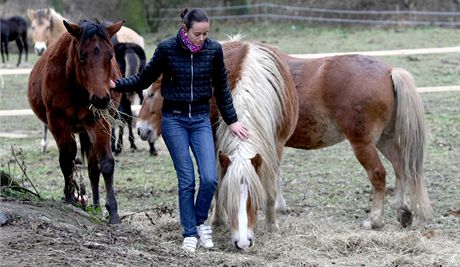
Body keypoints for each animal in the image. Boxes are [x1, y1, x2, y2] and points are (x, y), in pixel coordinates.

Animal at [27, 19, 125, 224]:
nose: (101, 99)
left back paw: (96, 206)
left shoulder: (100, 123)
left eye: (110, 56)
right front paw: (70, 198)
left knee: (93, 169)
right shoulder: (58, 123)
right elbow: (66, 160)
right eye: (82, 56)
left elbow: (105, 164)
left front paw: (113, 212)